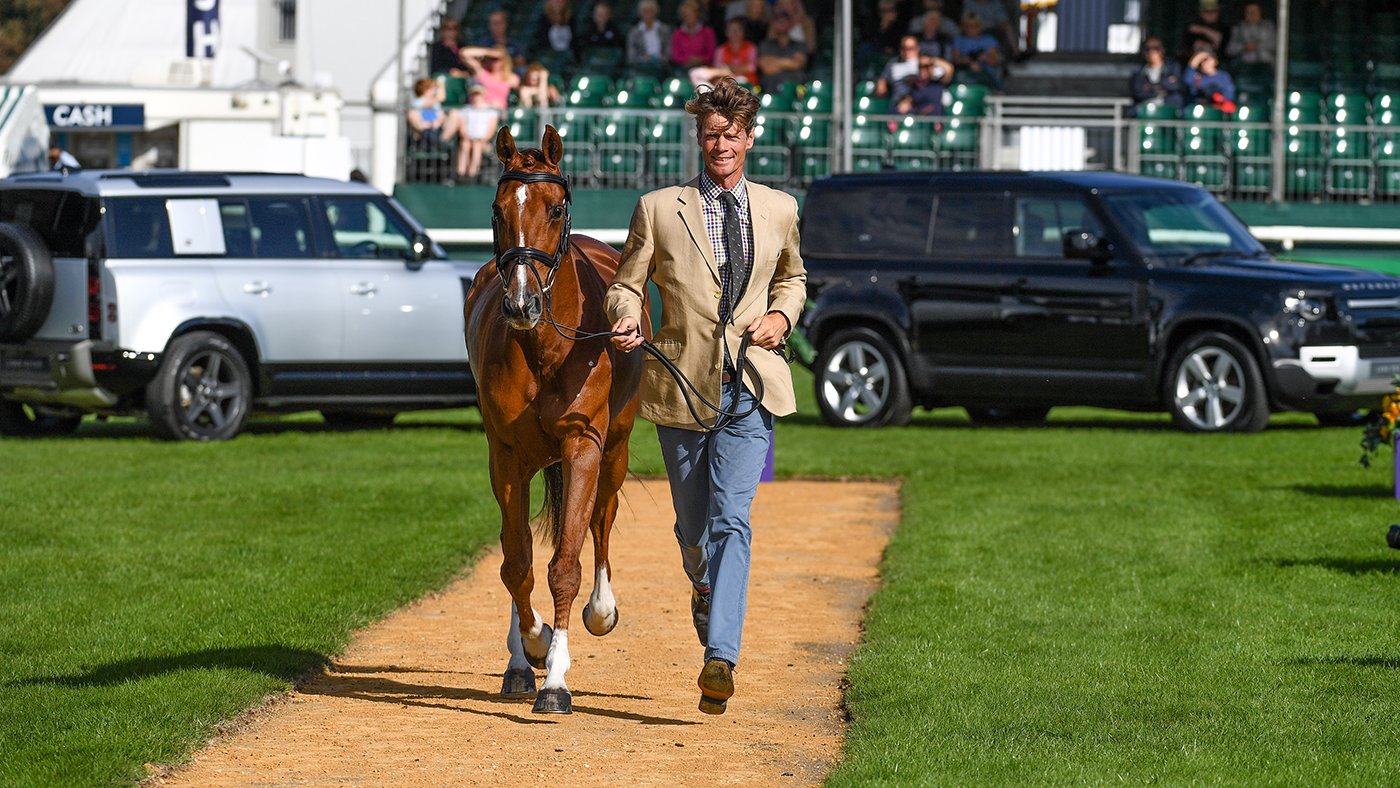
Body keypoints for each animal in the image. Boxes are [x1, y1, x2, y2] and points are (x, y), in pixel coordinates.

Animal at [463, 124, 647, 715]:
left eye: (556, 207)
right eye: (498, 209)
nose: (520, 303)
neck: (546, 349)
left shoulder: (583, 444)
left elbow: (566, 562)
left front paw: (558, 678)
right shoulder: (505, 456)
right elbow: (516, 563)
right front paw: (535, 645)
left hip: (615, 449)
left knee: (602, 519)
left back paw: (600, 610)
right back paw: (522, 659)